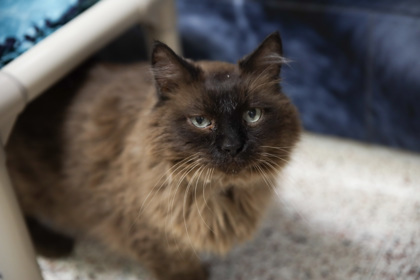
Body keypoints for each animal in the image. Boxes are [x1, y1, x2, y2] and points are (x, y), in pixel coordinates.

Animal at [7, 32, 302, 280]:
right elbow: (179, 268)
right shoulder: (150, 233)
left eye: (252, 115)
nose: (232, 146)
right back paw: (57, 245)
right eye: (200, 121)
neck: (217, 193)